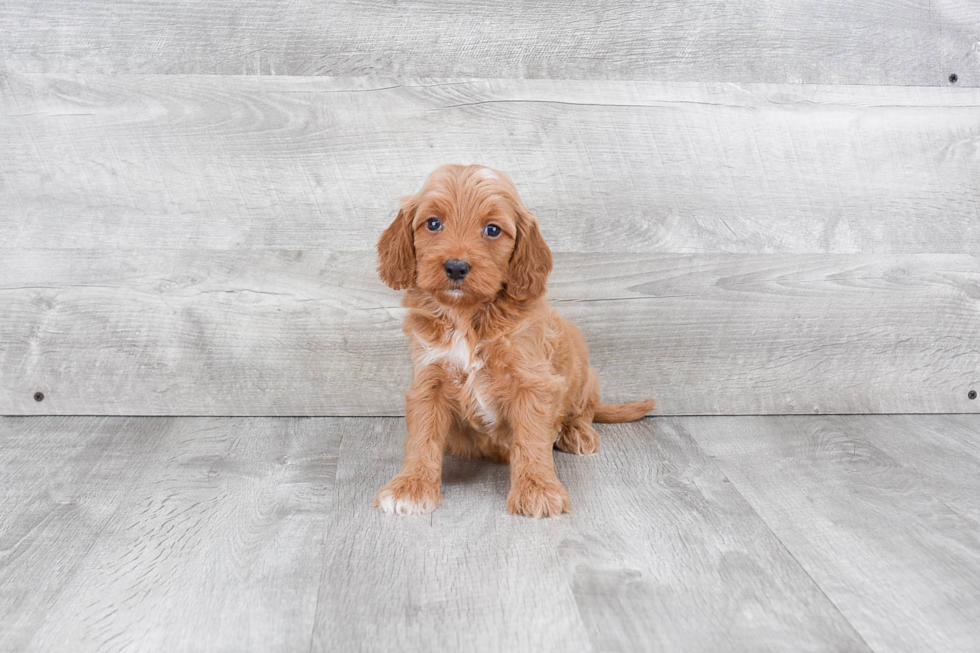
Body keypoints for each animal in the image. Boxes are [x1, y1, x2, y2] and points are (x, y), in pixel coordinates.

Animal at [372, 166, 656, 516]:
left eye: (493, 230)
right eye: (434, 223)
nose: (456, 267)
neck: (469, 317)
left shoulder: (532, 380)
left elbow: (531, 438)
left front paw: (537, 489)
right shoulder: (429, 378)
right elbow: (422, 436)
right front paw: (410, 486)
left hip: (580, 364)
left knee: (584, 409)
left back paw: (577, 432)